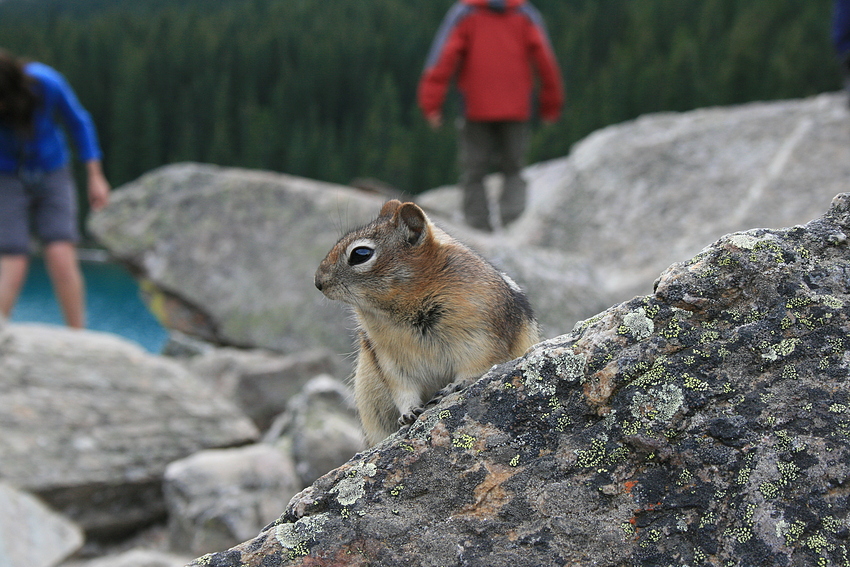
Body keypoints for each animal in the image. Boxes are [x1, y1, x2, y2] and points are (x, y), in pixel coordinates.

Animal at [312, 202, 536, 446]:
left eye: (361, 254)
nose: (318, 282)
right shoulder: (391, 361)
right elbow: (403, 390)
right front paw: (409, 413)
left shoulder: (483, 338)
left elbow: (476, 368)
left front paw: (455, 385)